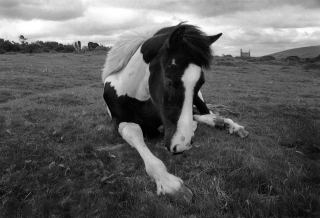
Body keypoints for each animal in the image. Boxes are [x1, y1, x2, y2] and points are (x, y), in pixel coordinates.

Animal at [102, 22, 248, 204]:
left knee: (206, 113)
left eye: (201, 82)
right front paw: (169, 183)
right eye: (169, 82)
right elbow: (134, 132)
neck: (134, 95)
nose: (182, 146)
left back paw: (231, 125)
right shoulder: (117, 122)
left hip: (198, 100)